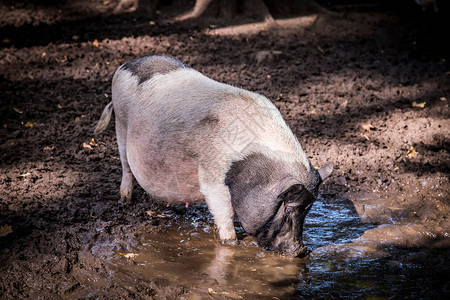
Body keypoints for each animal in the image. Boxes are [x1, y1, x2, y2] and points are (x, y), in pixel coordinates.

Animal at [95, 54, 332, 255]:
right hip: (121, 124)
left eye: (308, 210)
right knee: (125, 164)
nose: (302, 250)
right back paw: (125, 199)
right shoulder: (212, 176)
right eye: (290, 210)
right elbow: (225, 214)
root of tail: (127, 65)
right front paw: (230, 243)